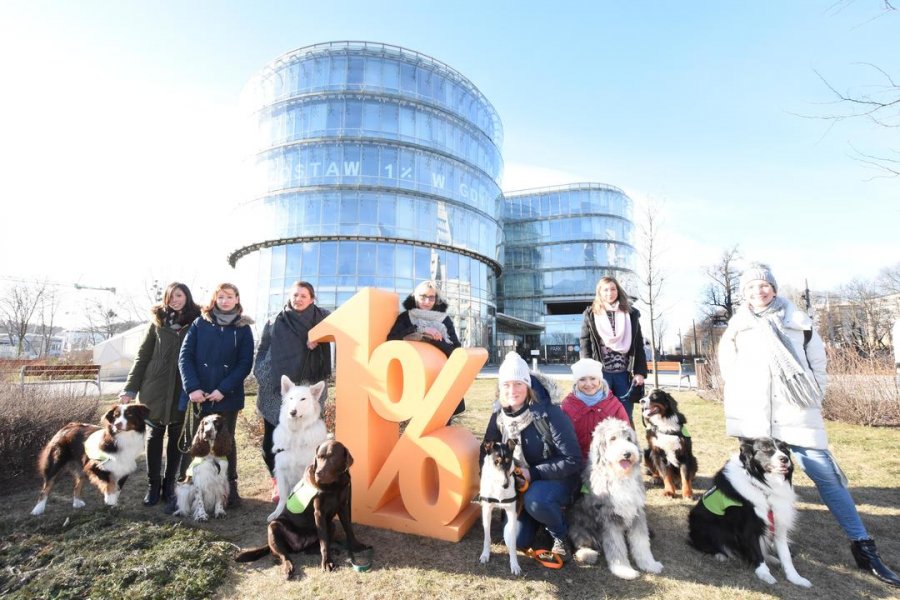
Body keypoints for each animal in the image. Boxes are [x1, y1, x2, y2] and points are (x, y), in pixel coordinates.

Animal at [237, 438, 370, 580]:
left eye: (332, 457)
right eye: (319, 457)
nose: (319, 473)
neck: (334, 484)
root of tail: (299, 544)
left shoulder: (343, 506)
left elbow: (348, 529)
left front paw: (356, 546)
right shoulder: (319, 512)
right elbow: (324, 541)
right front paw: (327, 562)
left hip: (331, 525)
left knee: (311, 549)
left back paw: (332, 549)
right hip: (274, 527)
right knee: (284, 555)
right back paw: (289, 568)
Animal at [268, 378, 328, 524]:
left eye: (303, 399)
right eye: (291, 398)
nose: (292, 412)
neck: (296, 433)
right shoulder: (282, 471)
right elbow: (283, 497)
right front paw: (277, 513)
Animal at [478, 438, 520, 576]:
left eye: (508, 461)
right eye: (496, 461)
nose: (506, 485)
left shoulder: (512, 512)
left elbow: (512, 542)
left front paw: (514, 564)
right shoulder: (486, 510)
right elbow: (487, 537)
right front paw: (485, 555)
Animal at [568, 420, 660, 580]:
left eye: (629, 438)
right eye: (612, 439)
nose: (627, 454)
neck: (620, 476)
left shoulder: (637, 513)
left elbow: (642, 542)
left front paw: (649, 564)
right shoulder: (609, 518)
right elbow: (616, 546)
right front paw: (624, 570)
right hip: (579, 527)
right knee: (579, 544)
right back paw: (588, 554)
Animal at [688, 436, 816, 584]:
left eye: (784, 449)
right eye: (766, 449)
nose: (785, 459)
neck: (763, 485)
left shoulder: (778, 523)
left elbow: (785, 555)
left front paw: (796, 578)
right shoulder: (748, 527)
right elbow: (757, 552)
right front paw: (765, 574)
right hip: (708, 526)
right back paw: (721, 555)